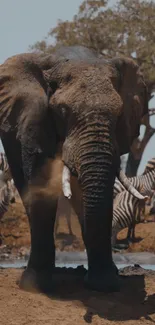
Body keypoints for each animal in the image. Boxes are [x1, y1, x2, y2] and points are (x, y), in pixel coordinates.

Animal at [0, 45, 148, 292]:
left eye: (119, 114)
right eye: (62, 111)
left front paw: (105, 284)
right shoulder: (34, 121)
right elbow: (39, 185)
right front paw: (35, 286)